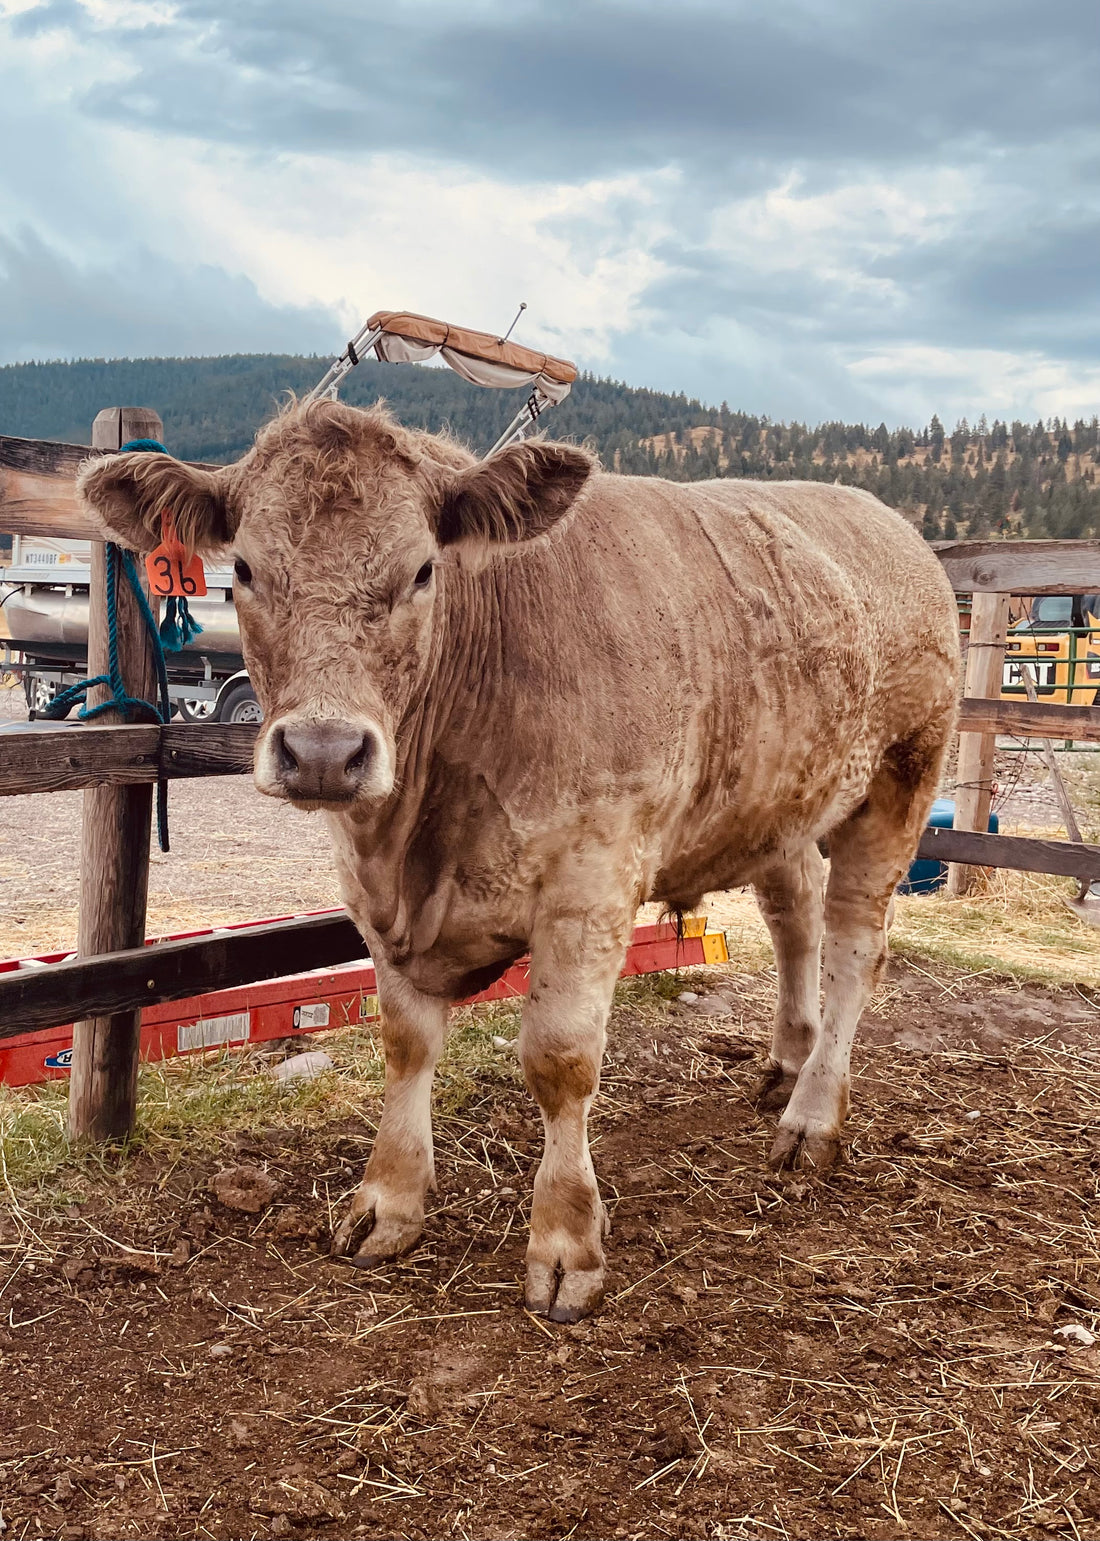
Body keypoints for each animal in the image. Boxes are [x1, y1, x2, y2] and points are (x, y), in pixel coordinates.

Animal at [78, 399, 960, 1323]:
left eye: (423, 570)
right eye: (244, 568)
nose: (324, 751)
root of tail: (888, 519)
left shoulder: (593, 873)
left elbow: (560, 1059)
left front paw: (566, 1239)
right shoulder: (371, 890)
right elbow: (405, 1042)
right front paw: (389, 1200)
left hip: (902, 776)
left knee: (855, 946)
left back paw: (813, 1115)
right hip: (779, 805)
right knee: (795, 919)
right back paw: (787, 1061)